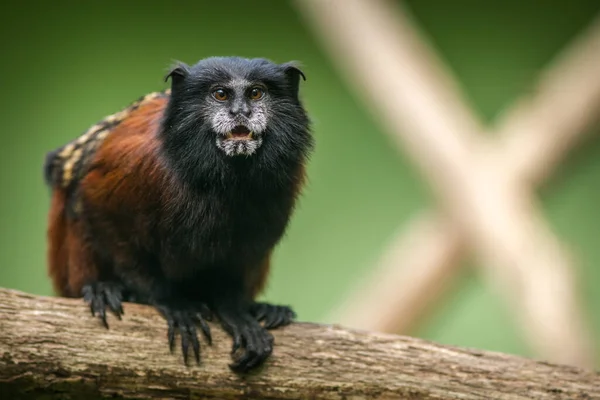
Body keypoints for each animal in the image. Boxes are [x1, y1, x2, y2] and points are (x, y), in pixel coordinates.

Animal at [42, 57, 314, 372]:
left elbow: (243, 254)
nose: (240, 112)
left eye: (256, 93)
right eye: (220, 95)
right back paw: (104, 289)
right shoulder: (135, 161)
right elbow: (99, 209)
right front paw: (170, 301)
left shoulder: (284, 180)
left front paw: (234, 310)